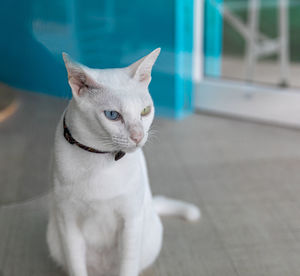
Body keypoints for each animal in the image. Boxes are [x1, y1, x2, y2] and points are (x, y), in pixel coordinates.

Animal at [47, 48, 200, 276]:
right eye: (112, 115)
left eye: (145, 111)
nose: (138, 136)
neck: (101, 159)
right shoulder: (68, 221)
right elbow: (76, 266)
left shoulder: (131, 219)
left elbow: (128, 264)